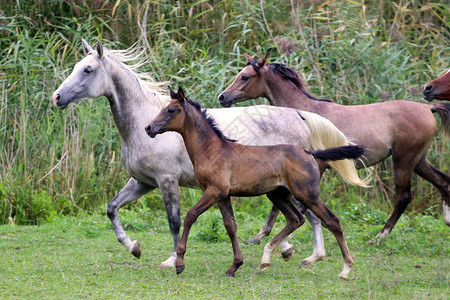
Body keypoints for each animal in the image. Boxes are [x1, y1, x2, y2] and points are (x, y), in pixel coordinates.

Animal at [51, 39, 366, 268]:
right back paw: (290, 251)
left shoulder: (166, 181)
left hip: (295, 185)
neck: (141, 124)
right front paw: (135, 248)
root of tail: (299, 115)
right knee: (300, 214)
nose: (57, 97)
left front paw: (171, 260)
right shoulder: (143, 182)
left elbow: (175, 221)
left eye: (87, 70)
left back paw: (309, 255)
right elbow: (112, 208)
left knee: (310, 214)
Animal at [218, 54, 450, 246]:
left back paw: (378, 237)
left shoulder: (309, 166)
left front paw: (264, 236)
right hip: (419, 160)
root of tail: (428, 108)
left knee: (404, 197)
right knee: (443, 182)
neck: (305, 114)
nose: (222, 97)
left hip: (403, 160)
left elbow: (292, 205)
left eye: (245, 77)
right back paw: (447, 220)